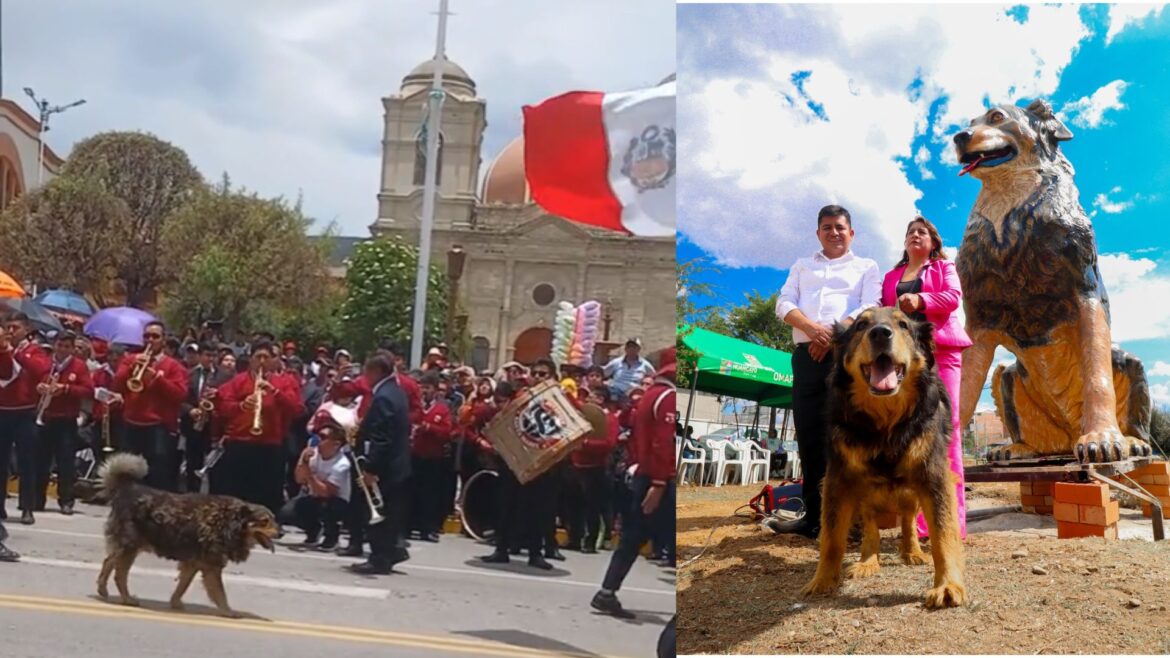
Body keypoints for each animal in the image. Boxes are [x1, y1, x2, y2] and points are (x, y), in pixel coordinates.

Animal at [95, 449, 278, 613]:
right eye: (265, 521)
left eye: (274, 519)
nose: (281, 532)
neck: (231, 522)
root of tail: (126, 489)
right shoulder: (212, 566)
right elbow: (220, 593)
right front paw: (228, 611)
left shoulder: (194, 563)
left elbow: (183, 586)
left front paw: (175, 602)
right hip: (130, 546)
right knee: (119, 574)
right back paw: (126, 599)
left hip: (131, 546)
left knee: (108, 561)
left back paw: (103, 589)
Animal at [800, 304, 964, 608]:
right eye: (861, 325)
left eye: (903, 325)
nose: (880, 333)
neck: (885, 422)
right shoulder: (838, 478)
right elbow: (831, 538)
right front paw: (823, 580)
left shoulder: (933, 475)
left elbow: (943, 533)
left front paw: (948, 584)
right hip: (867, 493)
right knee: (871, 527)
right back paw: (868, 561)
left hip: (910, 493)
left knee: (909, 521)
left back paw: (912, 552)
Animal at [959, 100, 1151, 463]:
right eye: (970, 121)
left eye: (996, 117)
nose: (959, 136)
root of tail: (1068, 433)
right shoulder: (978, 319)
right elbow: (961, 389)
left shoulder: (1086, 293)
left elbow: (1097, 378)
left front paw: (1103, 438)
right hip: (1007, 375)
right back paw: (1016, 448)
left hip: (1131, 363)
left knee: (1136, 419)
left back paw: (1132, 441)